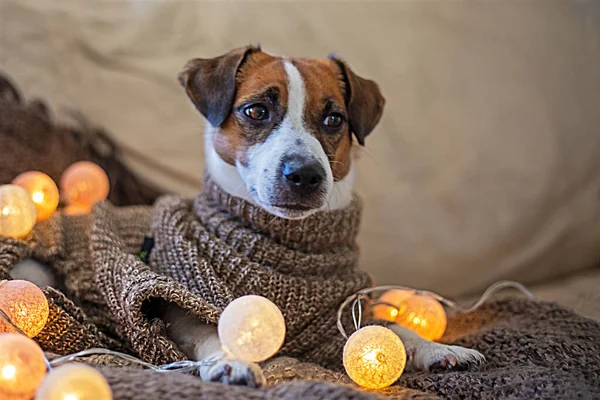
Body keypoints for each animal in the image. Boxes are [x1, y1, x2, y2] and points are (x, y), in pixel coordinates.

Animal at [162, 46, 486, 388]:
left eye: (334, 119)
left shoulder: (343, 314)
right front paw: (230, 362)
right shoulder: (182, 310)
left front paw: (437, 348)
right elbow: (214, 329)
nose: (305, 175)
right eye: (257, 111)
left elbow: (391, 327)